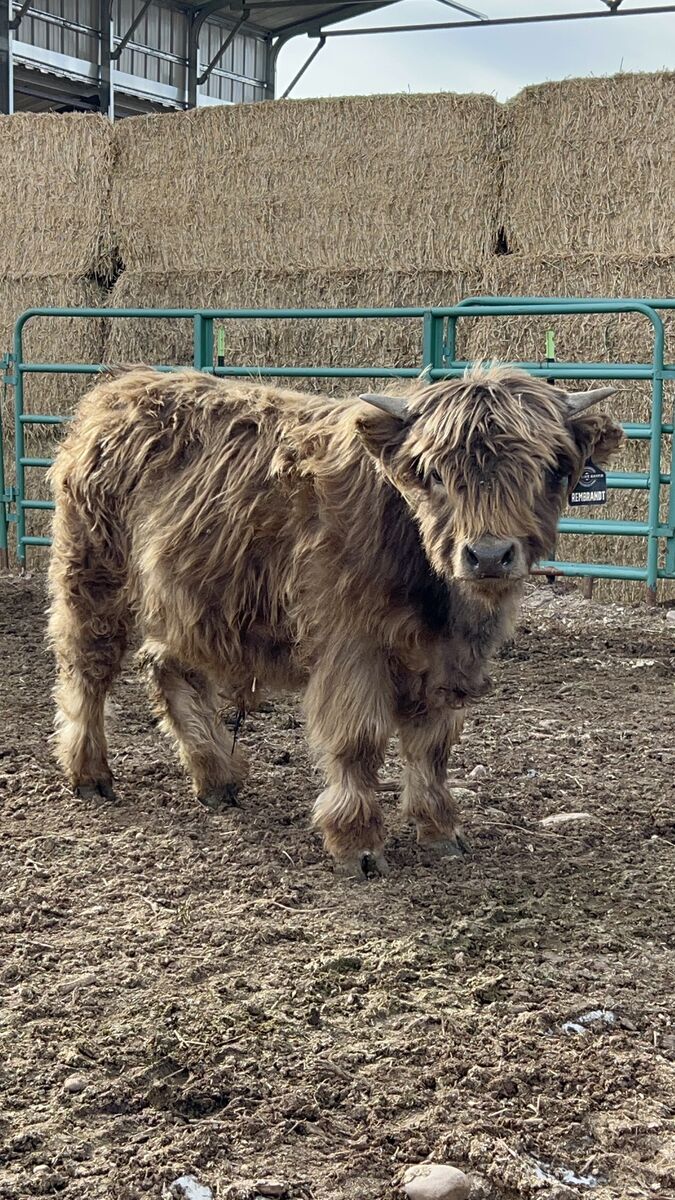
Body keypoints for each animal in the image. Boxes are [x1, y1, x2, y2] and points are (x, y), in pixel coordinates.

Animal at [47, 364, 623, 878]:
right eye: (434, 473)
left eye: (551, 469)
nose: (488, 556)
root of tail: (118, 389)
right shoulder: (351, 647)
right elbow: (359, 741)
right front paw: (358, 843)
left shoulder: (446, 659)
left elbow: (433, 747)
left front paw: (440, 831)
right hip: (92, 575)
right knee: (88, 670)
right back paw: (90, 774)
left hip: (193, 603)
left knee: (169, 668)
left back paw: (217, 779)